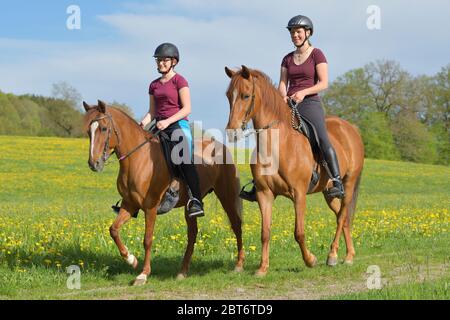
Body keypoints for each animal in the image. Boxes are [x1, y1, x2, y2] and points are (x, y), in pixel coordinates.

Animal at [84, 100, 246, 284]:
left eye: (104, 128)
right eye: (89, 131)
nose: (94, 163)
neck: (139, 159)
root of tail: (221, 146)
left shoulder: (151, 207)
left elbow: (147, 240)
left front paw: (143, 274)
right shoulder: (129, 205)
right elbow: (113, 230)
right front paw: (131, 260)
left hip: (227, 196)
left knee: (236, 225)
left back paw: (239, 265)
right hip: (190, 206)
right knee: (192, 234)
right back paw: (182, 271)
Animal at [223, 66, 364, 276]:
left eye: (245, 95)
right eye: (227, 96)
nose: (232, 132)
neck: (277, 145)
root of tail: (351, 128)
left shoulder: (299, 194)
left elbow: (299, 232)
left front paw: (310, 260)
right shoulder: (264, 194)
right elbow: (265, 233)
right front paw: (262, 268)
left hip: (348, 184)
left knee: (341, 216)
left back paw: (332, 255)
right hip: (328, 192)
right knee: (343, 216)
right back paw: (348, 256)